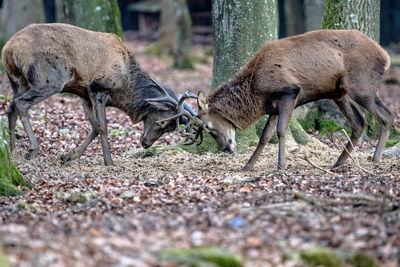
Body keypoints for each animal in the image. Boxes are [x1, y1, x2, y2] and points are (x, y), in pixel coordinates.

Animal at [1, 23, 197, 166]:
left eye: (171, 128)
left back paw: (12, 151)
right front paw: (109, 162)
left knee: (11, 106)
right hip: (48, 79)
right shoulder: (99, 88)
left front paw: (70, 155)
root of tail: (8, 49)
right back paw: (32, 149)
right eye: (164, 122)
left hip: (18, 81)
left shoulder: (84, 94)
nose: (146, 144)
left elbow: (94, 126)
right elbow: (103, 126)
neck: (124, 84)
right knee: (22, 104)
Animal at [166, 29, 394, 172]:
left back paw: (375, 158)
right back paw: (338, 163)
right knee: (359, 122)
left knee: (387, 116)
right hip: (339, 93)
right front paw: (247, 166)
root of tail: (386, 57)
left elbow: (281, 131)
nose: (226, 149)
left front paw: (281, 166)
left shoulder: (289, 92)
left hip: (361, 87)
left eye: (208, 127)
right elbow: (264, 136)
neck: (256, 91)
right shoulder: (273, 107)